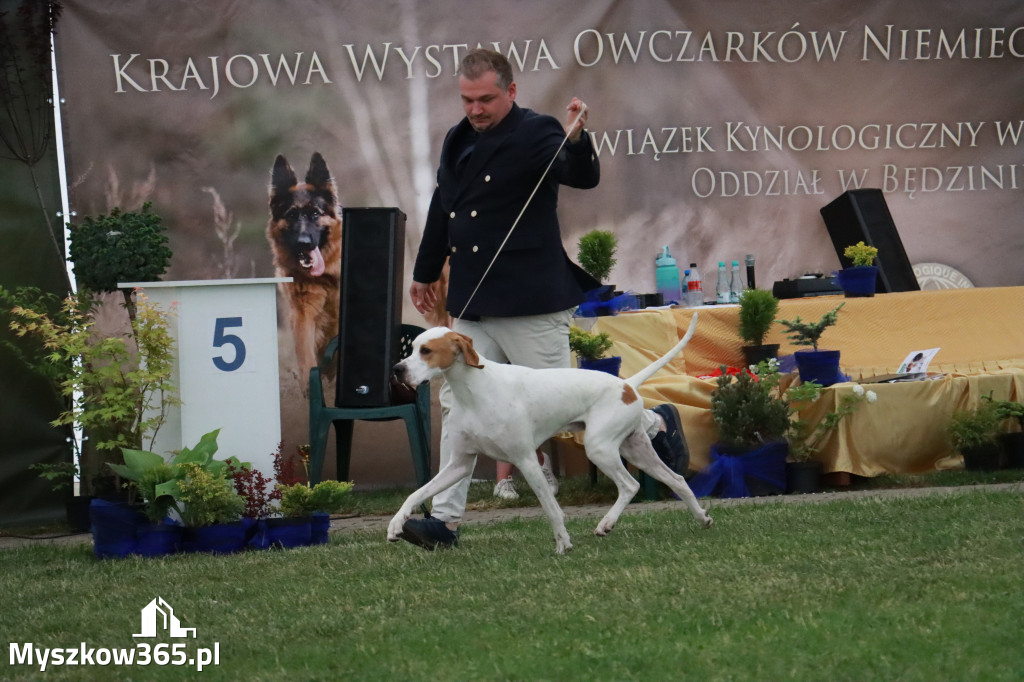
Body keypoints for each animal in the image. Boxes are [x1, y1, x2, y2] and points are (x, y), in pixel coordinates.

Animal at [385, 313, 712, 552]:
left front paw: (563, 543)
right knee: (677, 479)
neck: (474, 391)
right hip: (636, 450)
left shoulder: (527, 461)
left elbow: (552, 509)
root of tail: (626, 384)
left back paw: (606, 524)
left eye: (426, 351)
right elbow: (417, 493)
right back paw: (702, 517)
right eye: (411, 349)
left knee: (630, 485)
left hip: (600, 449)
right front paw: (396, 524)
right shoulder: (460, 465)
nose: (397, 369)